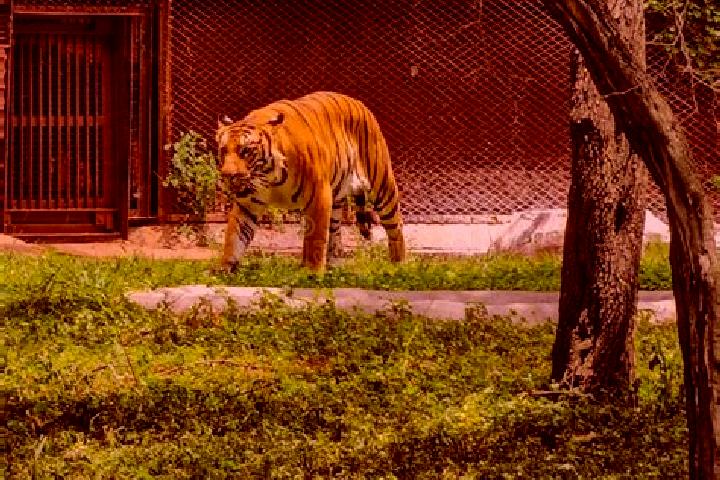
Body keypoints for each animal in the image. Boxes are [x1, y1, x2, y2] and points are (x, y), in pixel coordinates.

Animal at [215, 91, 406, 272]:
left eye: (246, 151)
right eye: (224, 150)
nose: (228, 175)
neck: (268, 176)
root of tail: (361, 104)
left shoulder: (318, 198)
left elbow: (315, 240)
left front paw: (313, 273)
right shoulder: (247, 204)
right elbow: (235, 237)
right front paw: (224, 270)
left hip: (382, 187)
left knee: (395, 227)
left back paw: (399, 266)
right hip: (336, 199)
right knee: (335, 233)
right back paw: (334, 266)